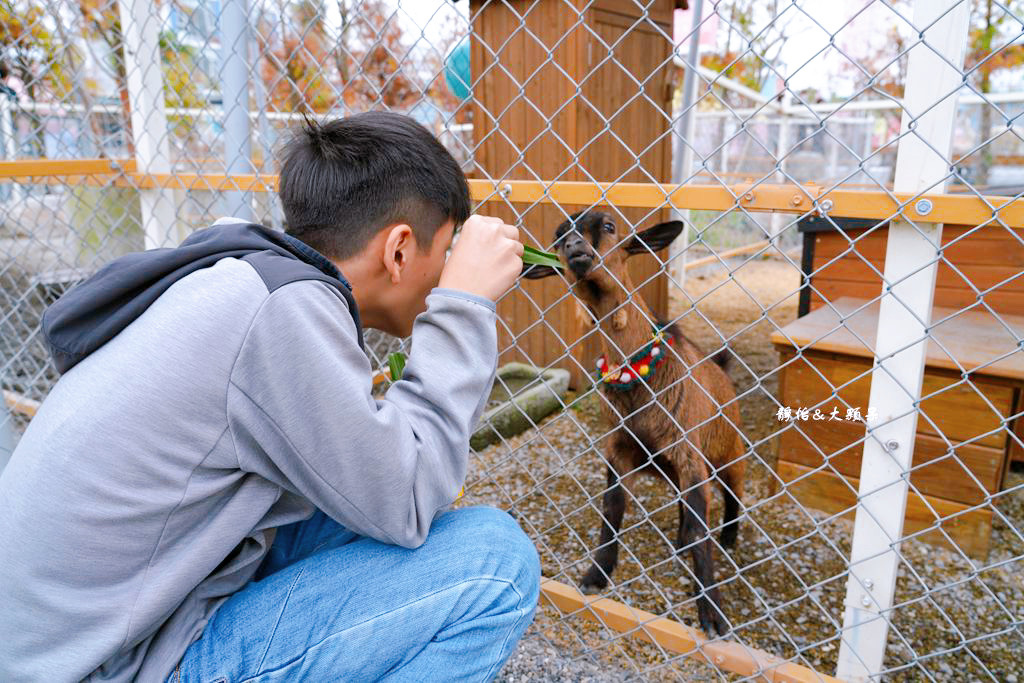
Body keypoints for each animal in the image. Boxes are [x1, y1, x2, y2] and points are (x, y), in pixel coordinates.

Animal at [524, 210, 749, 638]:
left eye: (609, 226)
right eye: (558, 237)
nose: (576, 246)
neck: (640, 375)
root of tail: (721, 368)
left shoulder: (688, 451)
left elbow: (701, 528)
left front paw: (711, 613)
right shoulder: (618, 447)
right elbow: (612, 509)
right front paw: (596, 575)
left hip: (728, 450)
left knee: (733, 494)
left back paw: (729, 537)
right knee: (685, 503)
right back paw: (680, 541)